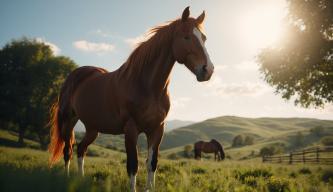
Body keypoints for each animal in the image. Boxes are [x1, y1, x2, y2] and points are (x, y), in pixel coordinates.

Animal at [48, 6, 214, 191]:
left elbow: (152, 163)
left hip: (92, 128)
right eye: (186, 37)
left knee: (81, 149)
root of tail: (75, 75)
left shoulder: (157, 129)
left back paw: (80, 179)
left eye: (204, 38)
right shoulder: (131, 128)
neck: (146, 85)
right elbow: (133, 165)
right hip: (68, 121)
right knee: (68, 151)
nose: (208, 70)